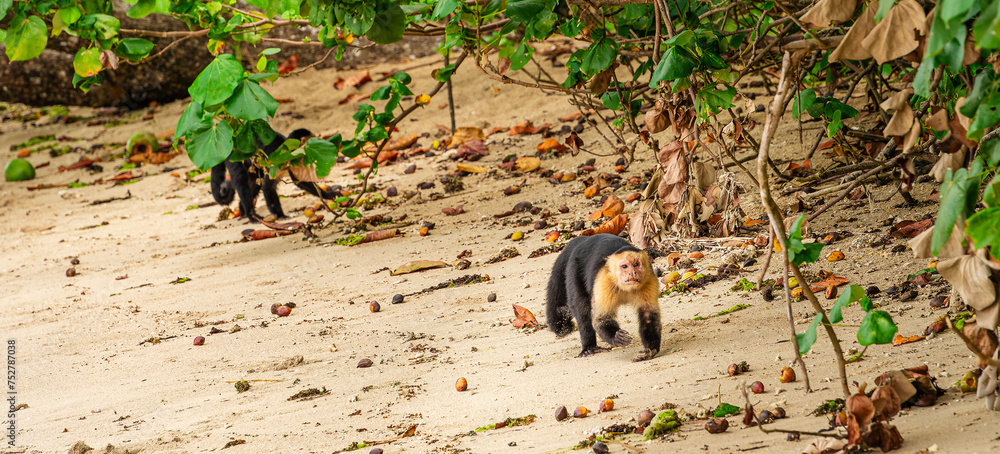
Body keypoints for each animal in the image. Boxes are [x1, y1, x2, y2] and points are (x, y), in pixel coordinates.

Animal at [544, 234, 660, 362]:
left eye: (636, 264)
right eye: (624, 266)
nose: (632, 273)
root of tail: (584, 239)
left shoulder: (649, 280)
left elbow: (648, 315)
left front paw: (650, 349)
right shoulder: (605, 281)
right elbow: (601, 318)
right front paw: (615, 336)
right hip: (574, 268)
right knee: (582, 308)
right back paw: (589, 347)